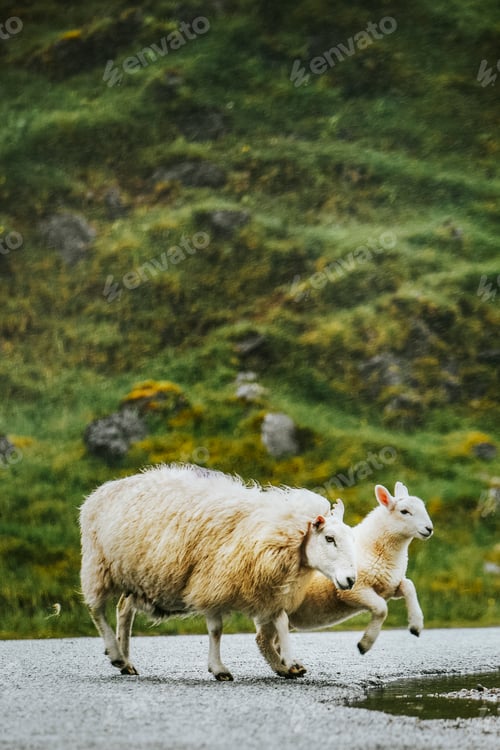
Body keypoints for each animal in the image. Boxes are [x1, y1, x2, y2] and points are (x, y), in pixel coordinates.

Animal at [80, 463, 357, 680]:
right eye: (329, 538)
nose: (351, 579)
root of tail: (102, 491)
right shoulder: (211, 582)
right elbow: (216, 630)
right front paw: (219, 668)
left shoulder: (269, 588)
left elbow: (281, 622)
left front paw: (288, 662)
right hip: (99, 564)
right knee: (96, 609)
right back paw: (115, 653)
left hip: (137, 577)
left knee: (124, 609)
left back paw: (126, 662)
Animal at [255, 481, 433, 662]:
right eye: (404, 511)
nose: (429, 529)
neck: (376, 549)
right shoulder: (354, 590)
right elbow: (382, 608)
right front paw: (365, 644)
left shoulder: (389, 586)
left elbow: (409, 586)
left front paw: (416, 625)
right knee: (262, 640)